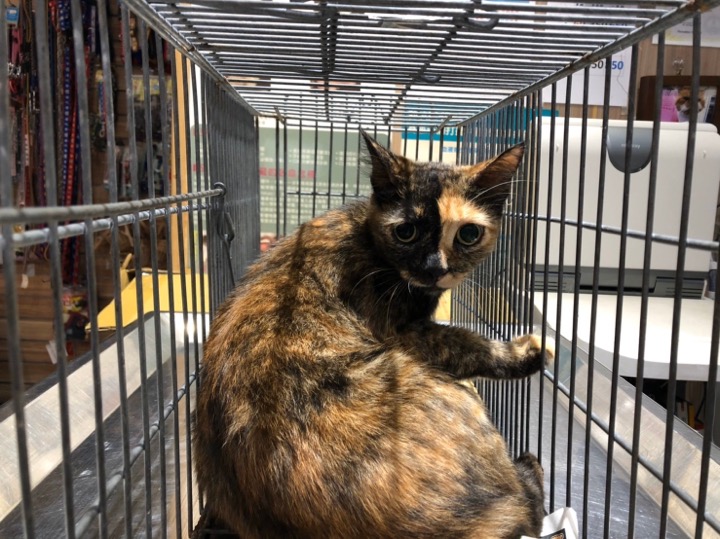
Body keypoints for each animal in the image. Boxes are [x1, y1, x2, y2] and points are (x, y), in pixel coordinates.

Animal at [193, 131, 552, 539]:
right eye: (406, 232)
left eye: (469, 234)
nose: (434, 269)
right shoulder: (403, 332)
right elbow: (464, 343)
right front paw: (527, 352)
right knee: (527, 511)